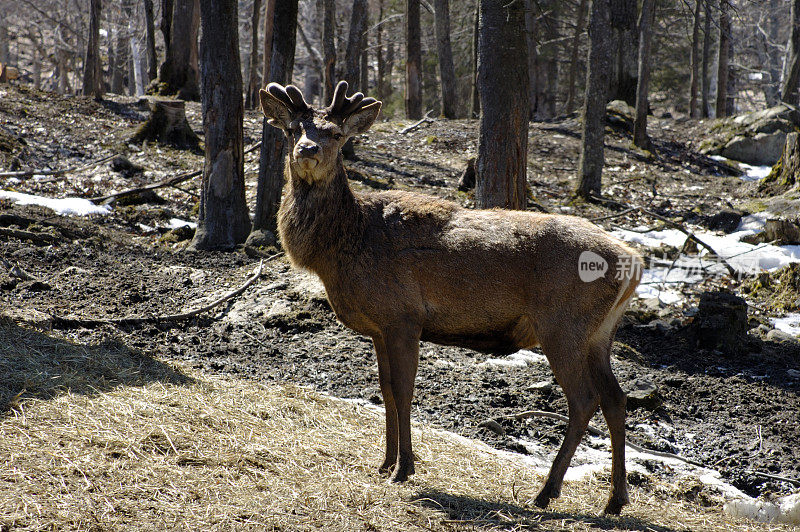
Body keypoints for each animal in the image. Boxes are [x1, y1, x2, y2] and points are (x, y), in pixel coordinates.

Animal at [260, 81, 648, 512]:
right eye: (293, 129)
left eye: (337, 134)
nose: (307, 150)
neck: (343, 247)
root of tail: (634, 261)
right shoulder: (379, 327)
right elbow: (384, 389)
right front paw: (384, 463)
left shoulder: (403, 316)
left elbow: (403, 389)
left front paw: (404, 469)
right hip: (599, 333)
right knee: (616, 398)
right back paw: (614, 500)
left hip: (563, 324)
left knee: (584, 400)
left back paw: (546, 492)